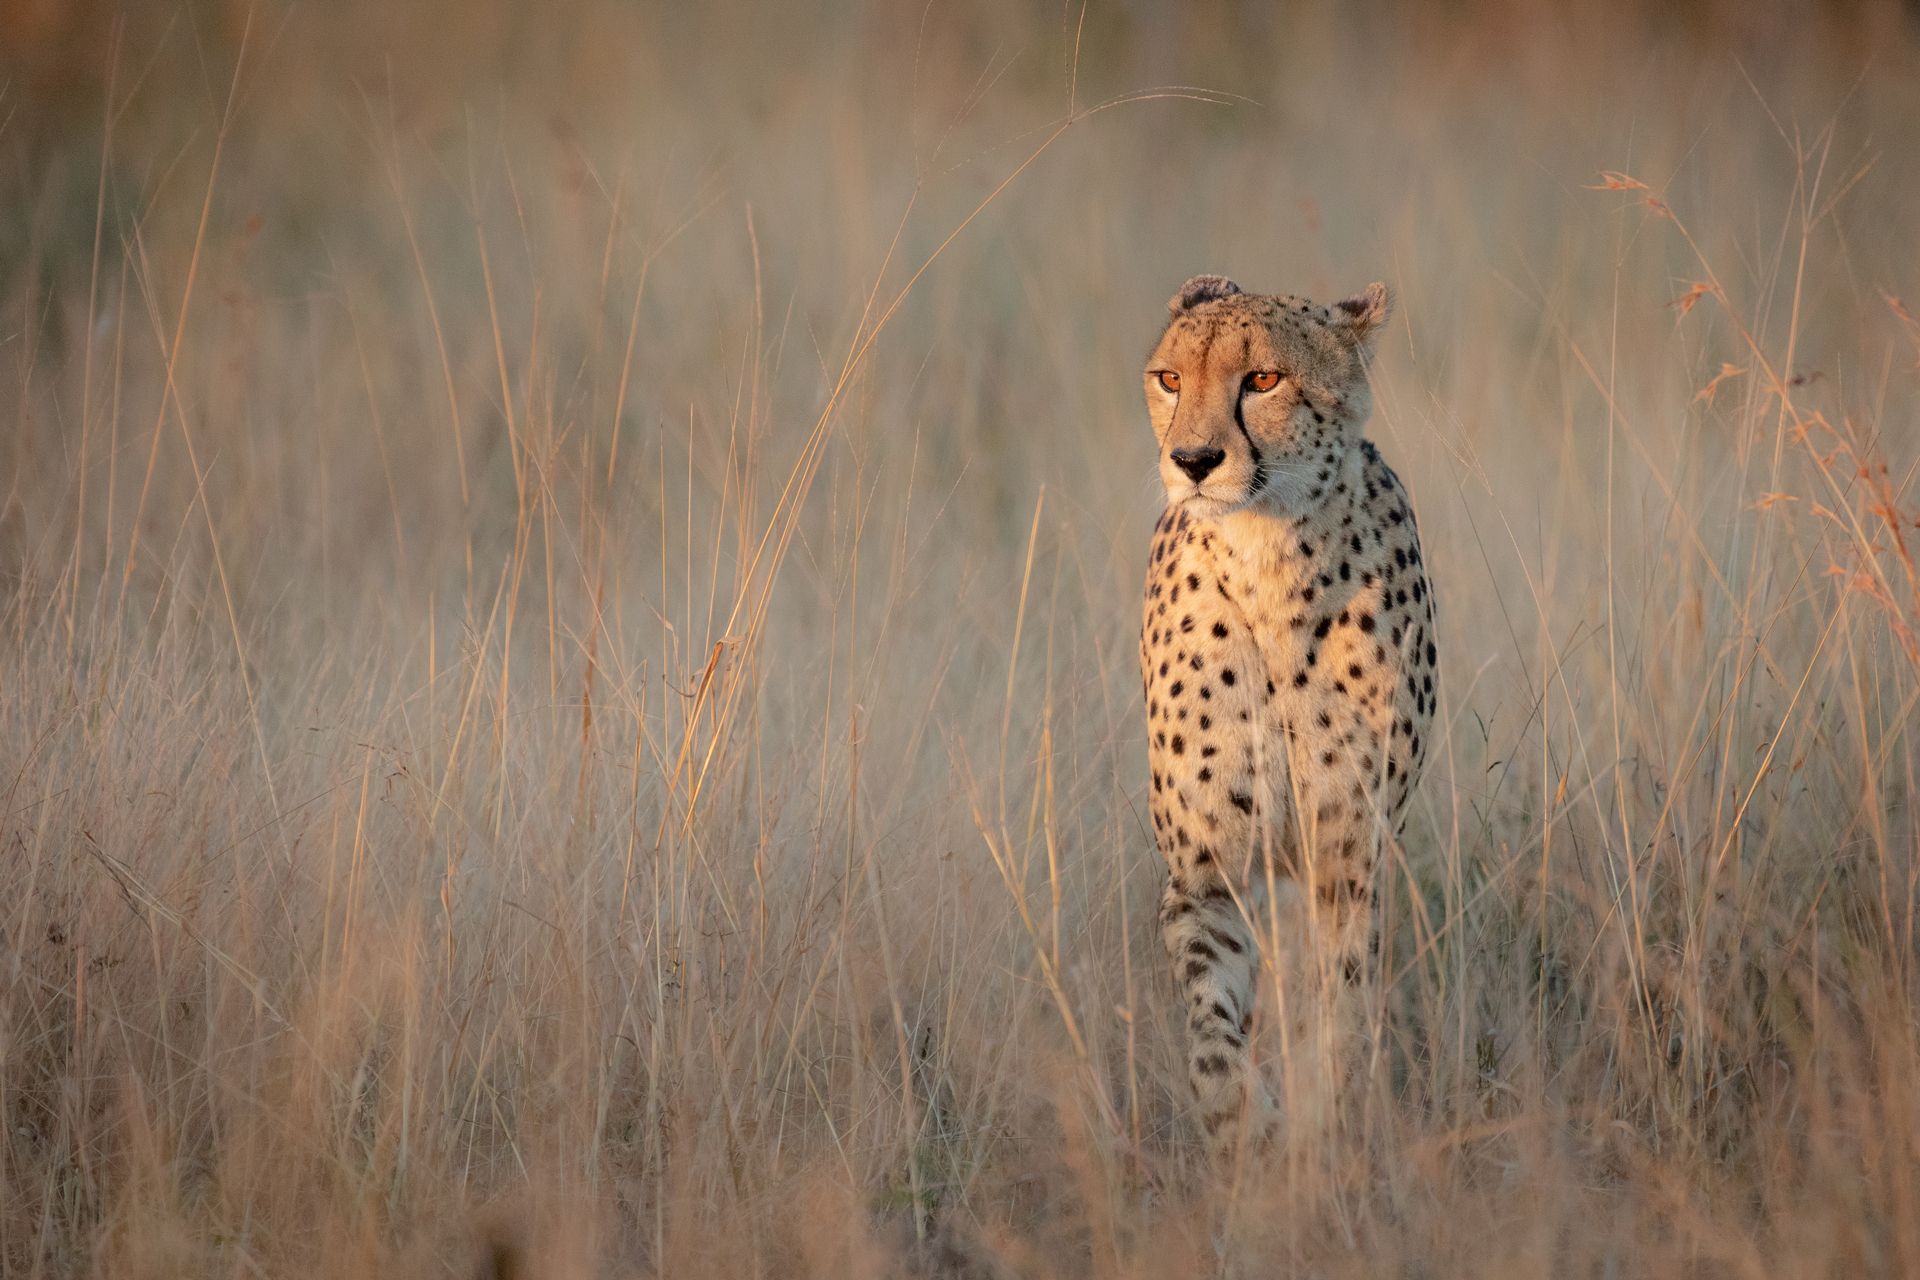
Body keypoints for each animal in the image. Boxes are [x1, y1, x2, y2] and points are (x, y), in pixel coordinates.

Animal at [1138, 274, 1437, 1163]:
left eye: (1262, 380)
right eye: (1171, 379)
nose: (1193, 462)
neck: (1269, 560)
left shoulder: (1348, 856)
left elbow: (1338, 1010)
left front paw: (1323, 1130)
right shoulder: (1208, 874)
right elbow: (1212, 1030)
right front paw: (1246, 1130)